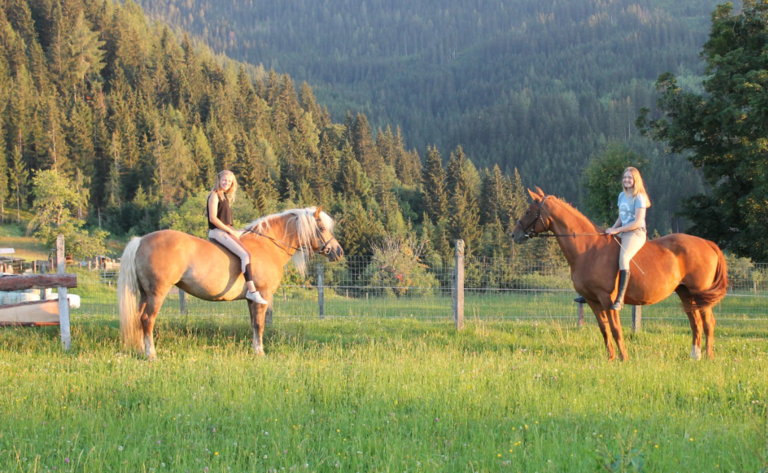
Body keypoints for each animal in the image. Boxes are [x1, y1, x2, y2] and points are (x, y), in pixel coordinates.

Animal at [115, 206, 344, 358]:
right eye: (321, 227)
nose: (338, 251)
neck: (267, 245)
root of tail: (141, 240)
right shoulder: (263, 295)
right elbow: (260, 324)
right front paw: (260, 352)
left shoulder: (252, 300)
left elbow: (254, 324)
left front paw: (255, 349)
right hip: (157, 293)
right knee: (147, 319)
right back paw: (151, 354)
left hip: (145, 293)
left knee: (137, 318)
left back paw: (140, 350)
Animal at [512, 188, 728, 362]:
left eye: (528, 211)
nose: (514, 235)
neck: (588, 248)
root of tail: (707, 243)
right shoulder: (593, 301)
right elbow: (604, 330)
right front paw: (610, 358)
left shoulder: (607, 299)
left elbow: (616, 329)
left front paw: (623, 358)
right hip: (685, 293)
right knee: (696, 323)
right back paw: (695, 356)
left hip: (699, 293)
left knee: (708, 323)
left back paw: (708, 357)